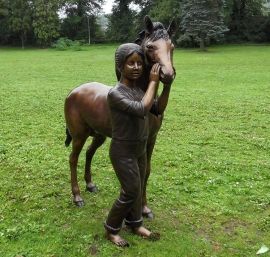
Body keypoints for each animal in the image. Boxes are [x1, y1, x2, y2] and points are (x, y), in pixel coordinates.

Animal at [64, 15, 176, 217]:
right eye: (150, 47)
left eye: (171, 46)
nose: (168, 74)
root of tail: (73, 92)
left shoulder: (151, 139)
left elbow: (146, 171)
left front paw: (145, 209)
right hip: (79, 136)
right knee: (73, 158)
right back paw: (77, 197)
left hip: (98, 135)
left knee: (89, 152)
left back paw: (90, 185)